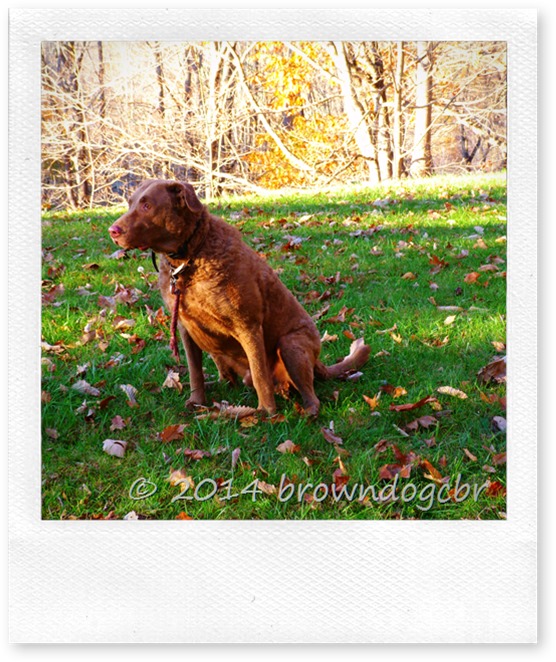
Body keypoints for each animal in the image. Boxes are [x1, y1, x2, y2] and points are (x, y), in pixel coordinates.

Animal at [108, 180, 370, 416]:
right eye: (130, 203)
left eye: (147, 205)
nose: (113, 231)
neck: (190, 258)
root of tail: (318, 363)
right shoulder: (185, 328)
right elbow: (195, 372)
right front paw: (197, 401)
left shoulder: (248, 326)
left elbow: (260, 376)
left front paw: (266, 413)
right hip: (217, 350)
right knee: (228, 379)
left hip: (292, 344)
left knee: (309, 395)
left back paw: (304, 412)